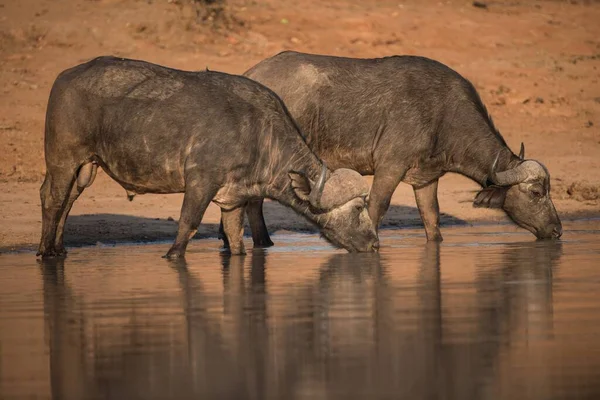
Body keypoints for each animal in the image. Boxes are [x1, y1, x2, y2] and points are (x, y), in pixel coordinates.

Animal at [37, 56, 378, 260]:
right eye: (358, 207)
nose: (375, 243)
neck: (258, 133)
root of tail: (64, 77)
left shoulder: (234, 199)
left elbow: (235, 238)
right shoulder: (201, 182)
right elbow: (187, 225)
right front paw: (172, 255)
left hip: (86, 167)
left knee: (68, 199)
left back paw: (59, 248)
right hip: (62, 159)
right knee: (52, 198)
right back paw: (45, 251)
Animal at [227, 50, 560, 244]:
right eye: (536, 193)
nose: (558, 230)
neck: (445, 115)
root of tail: (252, 74)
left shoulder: (426, 177)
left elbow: (431, 218)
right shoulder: (390, 167)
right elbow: (376, 208)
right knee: (254, 201)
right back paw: (264, 243)